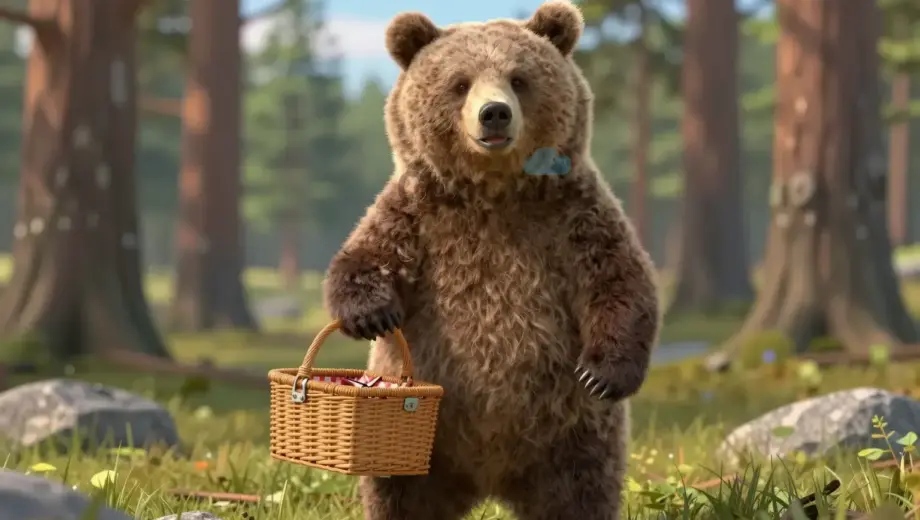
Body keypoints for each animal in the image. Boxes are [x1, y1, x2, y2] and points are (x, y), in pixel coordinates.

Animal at [322, 2, 661, 519]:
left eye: (519, 78)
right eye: (460, 83)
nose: (494, 113)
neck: (494, 191)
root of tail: (490, 479)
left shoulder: (574, 216)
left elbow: (620, 280)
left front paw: (601, 374)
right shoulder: (417, 214)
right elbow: (366, 256)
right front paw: (372, 314)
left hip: (572, 435)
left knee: (581, 492)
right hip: (424, 438)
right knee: (397, 490)